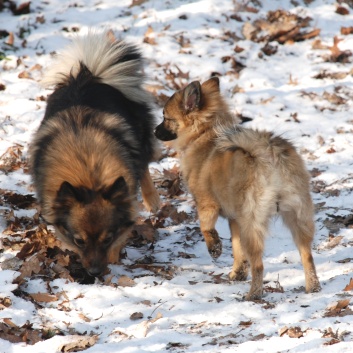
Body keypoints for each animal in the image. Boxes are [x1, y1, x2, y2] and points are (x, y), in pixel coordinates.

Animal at [30, 31, 160, 276]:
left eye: (107, 239)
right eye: (79, 241)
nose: (95, 272)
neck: (87, 169)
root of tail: (87, 75)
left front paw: (114, 258)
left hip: (141, 137)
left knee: (144, 164)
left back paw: (153, 200)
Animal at [154, 77, 320, 300]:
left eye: (165, 117)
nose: (154, 131)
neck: (204, 133)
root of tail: (267, 154)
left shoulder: (206, 204)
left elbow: (206, 228)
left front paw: (214, 248)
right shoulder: (234, 219)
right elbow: (237, 248)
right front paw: (237, 272)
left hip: (252, 222)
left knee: (258, 265)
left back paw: (254, 294)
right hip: (297, 216)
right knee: (307, 255)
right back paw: (313, 286)